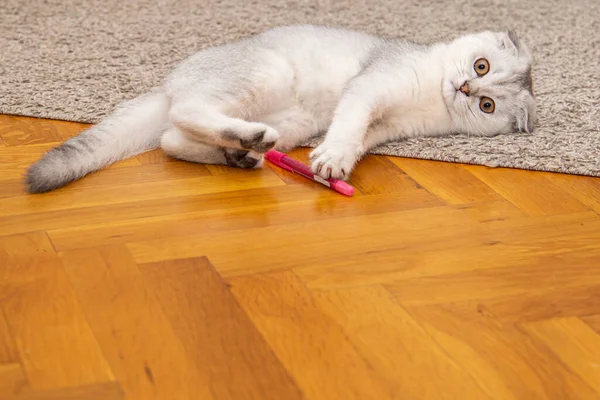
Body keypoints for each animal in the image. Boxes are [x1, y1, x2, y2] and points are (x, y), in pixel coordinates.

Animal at [25, 24, 536, 193]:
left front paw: (337, 162)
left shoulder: (383, 127)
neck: (431, 91)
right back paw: (242, 143)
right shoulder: (370, 87)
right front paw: (332, 159)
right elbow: (350, 123)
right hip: (264, 73)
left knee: (172, 139)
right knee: (184, 112)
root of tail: (170, 82)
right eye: (482, 64)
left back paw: (242, 150)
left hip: (294, 122)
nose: (465, 86)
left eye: (487, 104)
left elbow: (355, 139)